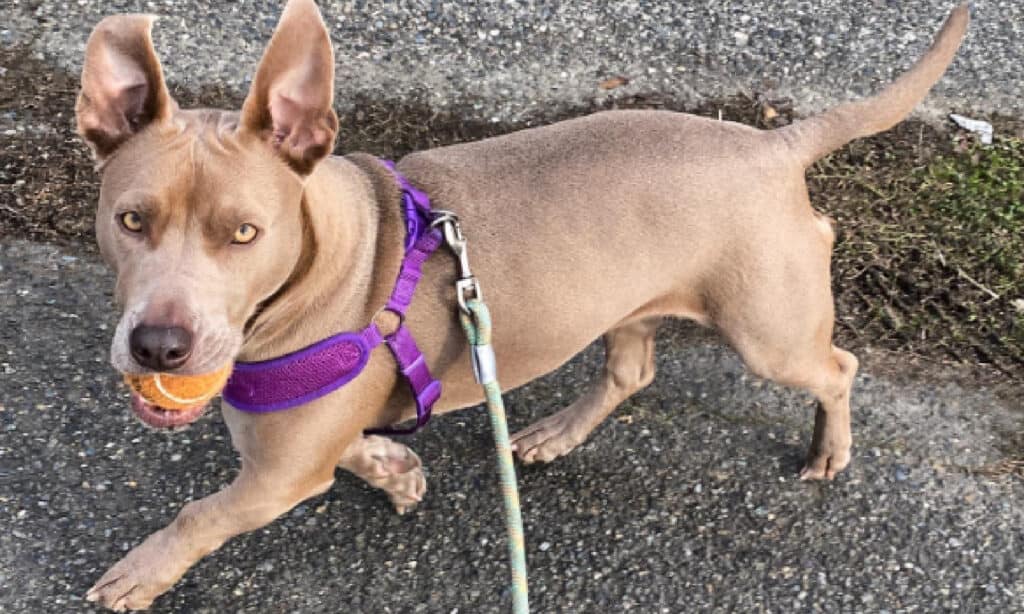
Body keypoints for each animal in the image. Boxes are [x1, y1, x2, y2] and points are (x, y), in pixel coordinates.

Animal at [77, 1, 966, 609]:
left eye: (245, 232)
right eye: (131, 219)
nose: (158, 346)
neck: (332, 259)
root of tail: (774, 142)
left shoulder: (275, 477)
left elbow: (200, 514)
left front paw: (140, 573)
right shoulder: (296, 451)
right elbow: (354, 448)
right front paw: (395, 471)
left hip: (768, 330)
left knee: (838, 367)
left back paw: (829, 450)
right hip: (628, 301)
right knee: (631, 372)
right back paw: (551, 435)